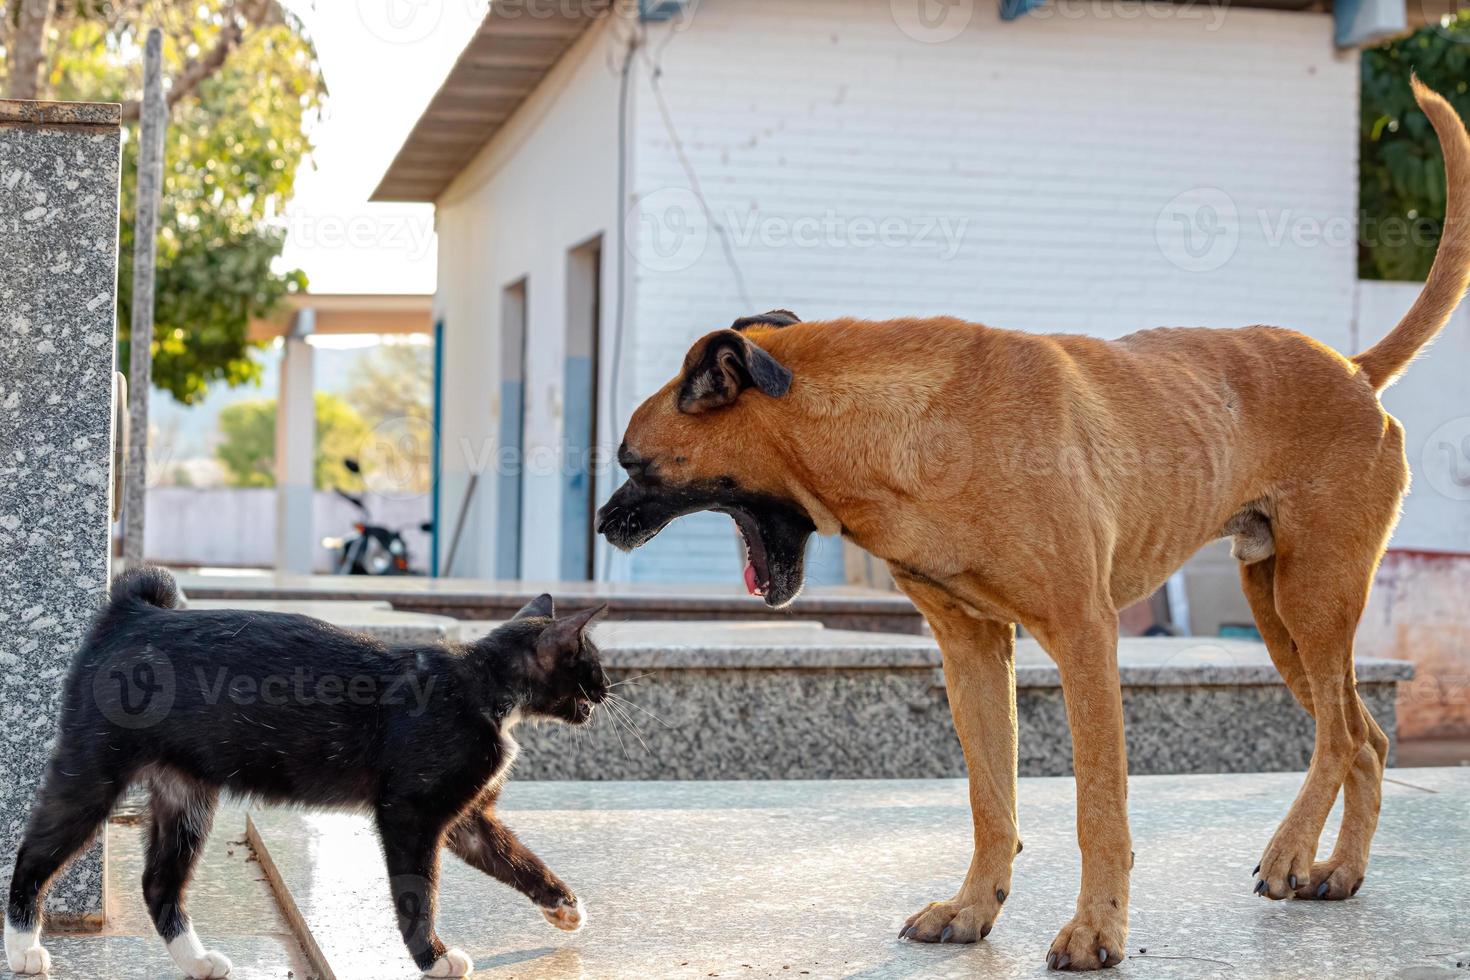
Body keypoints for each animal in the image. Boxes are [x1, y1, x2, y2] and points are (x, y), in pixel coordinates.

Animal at [2, 567, 605, 980]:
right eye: (591, 664)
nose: (604, 693)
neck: (480, 684)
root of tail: (134, 614)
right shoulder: (409, 812)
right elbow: (418, 890)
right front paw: (432, 957)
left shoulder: (466, 817)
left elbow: (515, 858)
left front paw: (566, 907)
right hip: (94, 770)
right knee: (33, 853)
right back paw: (24, 946)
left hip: (186, 795)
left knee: (159, 882)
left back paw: (197, 961)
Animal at [596, 80, 1470, 969]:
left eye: (635, 463)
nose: (603, 525)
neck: (911, 430)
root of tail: (1354, 370)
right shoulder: (973, 648)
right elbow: (992, 800)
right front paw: (973, 906)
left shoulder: (1085, 634)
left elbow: (1098, 808)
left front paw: (1097, 929)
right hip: (1279, 614)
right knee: (1366, 738)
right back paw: (1338, 870)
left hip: (1313, 600)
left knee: (1339, 737)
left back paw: (1291, 851)